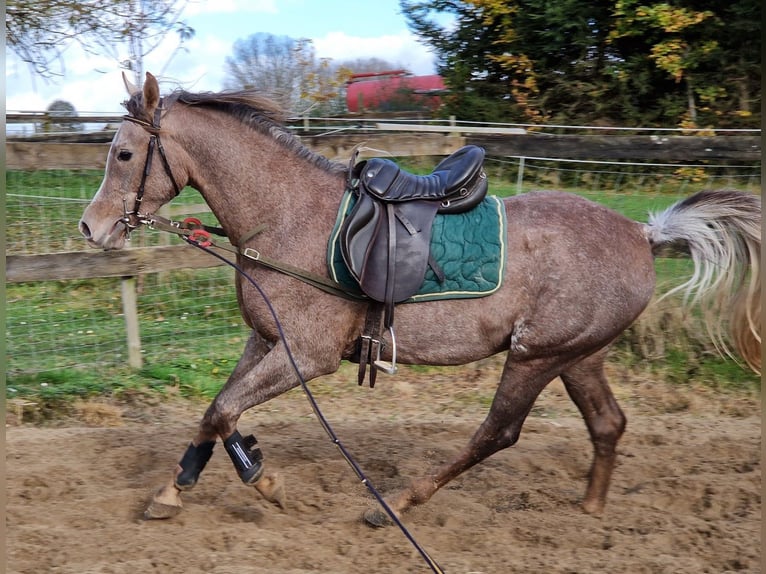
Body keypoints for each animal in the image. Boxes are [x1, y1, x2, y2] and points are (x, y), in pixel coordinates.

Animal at [78, 72, 760, 532]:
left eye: (124, 153)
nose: (92, 228)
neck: (288, 217)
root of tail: (644, 235)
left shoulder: (306, 355)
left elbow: (224, 412)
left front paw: (265, 482)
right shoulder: (266, 340)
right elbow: (213, 413)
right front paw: (173, 492)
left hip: (535, 356)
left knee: (498, 432)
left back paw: (397, 507)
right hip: (579, 355)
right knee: (607, 424)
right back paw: (590, 508)